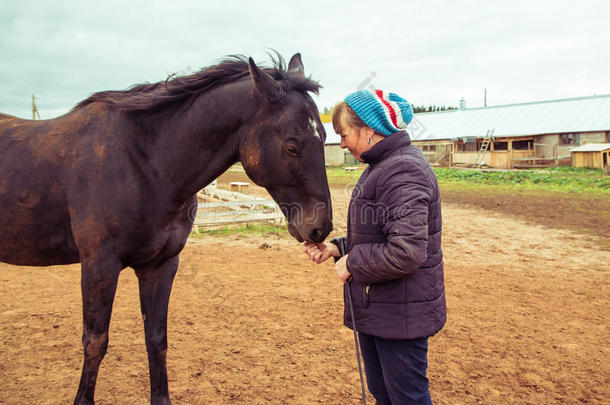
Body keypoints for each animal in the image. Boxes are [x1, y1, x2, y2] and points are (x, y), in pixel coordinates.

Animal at [0, 52, 332, 402]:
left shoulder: (160, 266)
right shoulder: (98, 265)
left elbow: (157, 338)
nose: (320, 228)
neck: (147, 165)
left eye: (324, 139)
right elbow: (95, 342)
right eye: (292, 146)